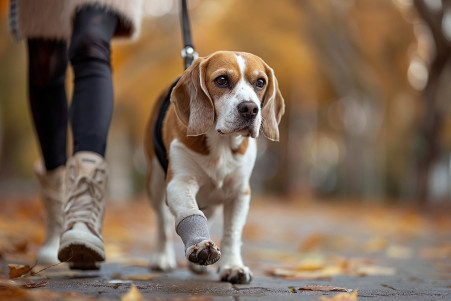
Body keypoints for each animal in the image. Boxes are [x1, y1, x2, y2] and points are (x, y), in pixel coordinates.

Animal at [145, 50, 284, 282]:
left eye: (260, 82)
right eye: (222, 80)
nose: (250, 108)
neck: (221, 145)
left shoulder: (239, 193)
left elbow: (232, 233)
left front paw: (233, 266)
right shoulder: (179, 183)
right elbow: (190, 212)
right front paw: (200, 245)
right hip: (155, 185)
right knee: (163, 224)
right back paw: (162, 257)